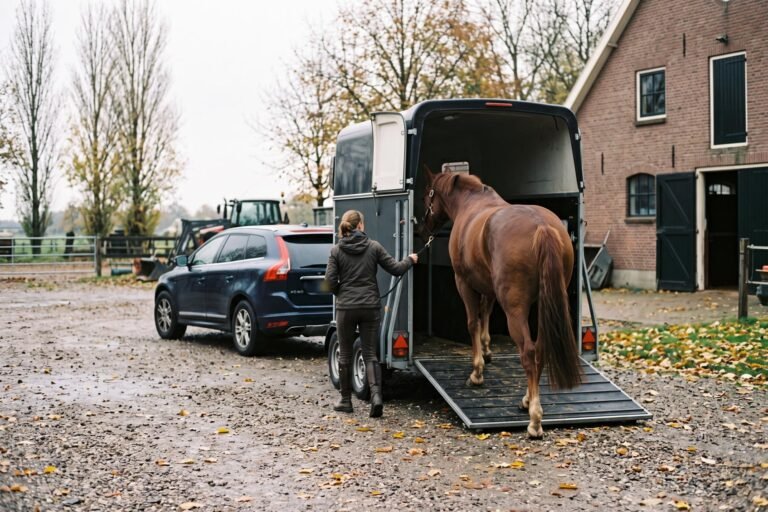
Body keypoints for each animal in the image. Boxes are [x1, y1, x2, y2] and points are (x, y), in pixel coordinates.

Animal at [421, 168, 581, 438]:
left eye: (428, 195)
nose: (425, 226)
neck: (471, 204)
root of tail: (542, 227)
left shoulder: (464, 282)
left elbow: (473, 322)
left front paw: (477, 372)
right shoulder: (488, 287)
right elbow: (485, 313)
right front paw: (487, 351)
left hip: (515, 310)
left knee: (528, 351)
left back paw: (534, 419)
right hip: (542, 307)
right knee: (540, 349)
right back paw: (527, 401)